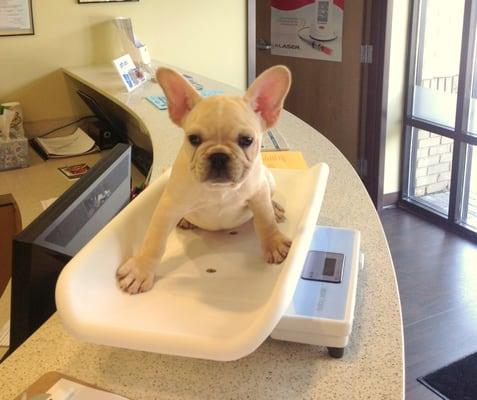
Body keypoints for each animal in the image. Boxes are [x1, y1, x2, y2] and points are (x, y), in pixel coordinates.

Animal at [117, 64, 292, 292]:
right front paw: (140, 270)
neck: (220, 189)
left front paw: (274, 244)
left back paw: (276, 208)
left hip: (269, 180)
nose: (218, 156)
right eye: (193, 139)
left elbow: (265, 220)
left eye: (247, 140)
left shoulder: (258, 194)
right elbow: (154, 241)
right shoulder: (168, 207)